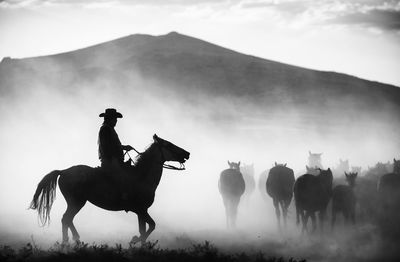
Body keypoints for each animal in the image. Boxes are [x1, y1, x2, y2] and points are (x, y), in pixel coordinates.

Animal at [29, 134, 189, 245]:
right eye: (168, 144)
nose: (187, 153)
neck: (142, 177)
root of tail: (63, 171)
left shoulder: (140, 212)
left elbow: (144, 229)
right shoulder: (142, 210)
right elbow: (152, 226)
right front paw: (134, 240)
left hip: (76, 203)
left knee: (67, 220)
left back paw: (73, 241)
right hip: (76, 202)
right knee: (66, 219)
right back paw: (70, 242)